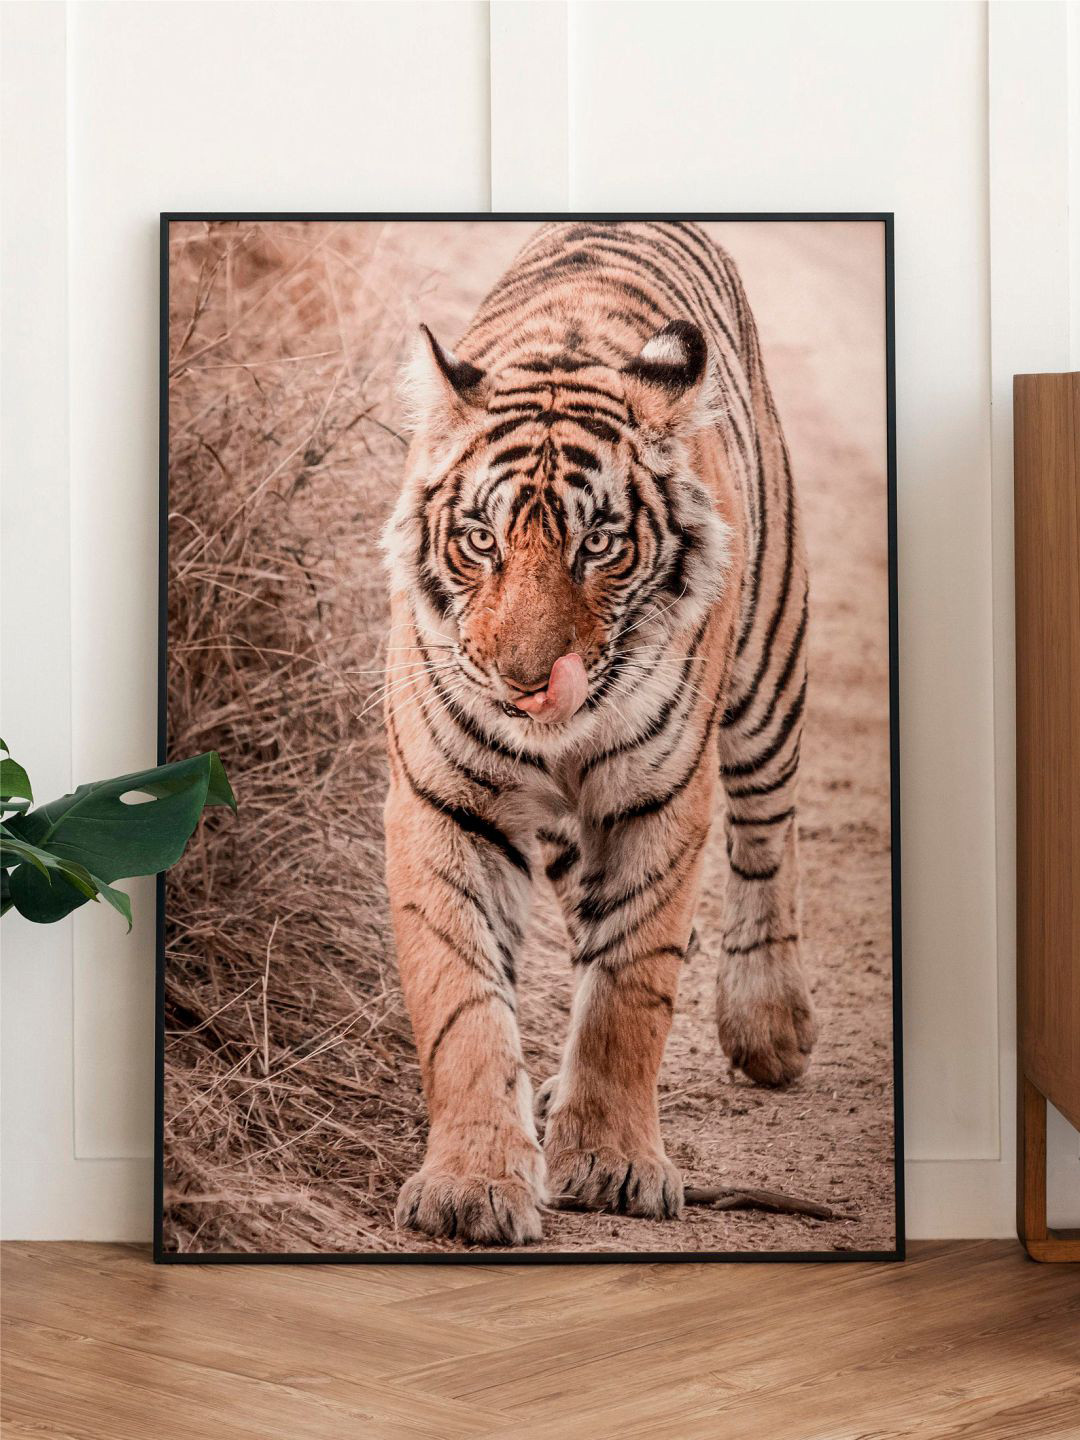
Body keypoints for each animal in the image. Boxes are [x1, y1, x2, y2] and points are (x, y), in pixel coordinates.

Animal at [381, 220, 815, 1246]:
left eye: (600, 546)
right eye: (481, 541)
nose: (524, 680)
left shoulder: (658, 800)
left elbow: (629, 990)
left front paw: (614, 1164)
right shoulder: (442, 803)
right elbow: (463, 1004)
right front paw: (471, 1184)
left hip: (769, 668)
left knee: (766, 835)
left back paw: (768, 1023)